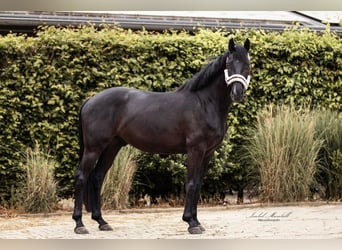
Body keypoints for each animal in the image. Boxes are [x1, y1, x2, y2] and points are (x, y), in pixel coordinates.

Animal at [72, 37, 250, 234]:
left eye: (247, 65)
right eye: (229, 63)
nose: (237, 93)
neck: (205, 103)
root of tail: (90, 100)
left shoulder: (208, 153)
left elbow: (197, 185)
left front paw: (196, 221)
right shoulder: (195, 150)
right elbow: (191, 183)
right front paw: (191, 222)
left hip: (112, 146)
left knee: (97, 177)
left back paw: (101, 221)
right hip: (93, 148)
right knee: (81, 177)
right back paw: (79, 224)